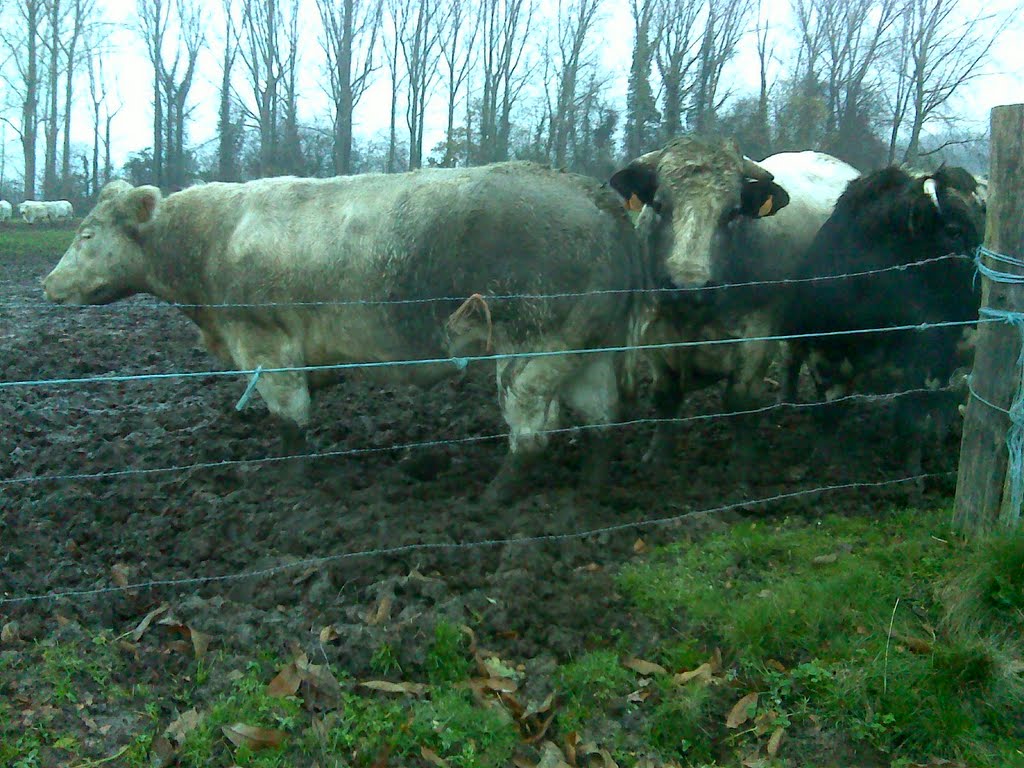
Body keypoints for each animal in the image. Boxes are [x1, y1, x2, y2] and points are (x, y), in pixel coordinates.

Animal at [778, 165, 987, 483]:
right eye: (954, 230)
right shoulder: (823, 352)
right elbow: (829, 411)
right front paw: (819, 463)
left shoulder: (926, 361)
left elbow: (913, 420)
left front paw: (912, 476)